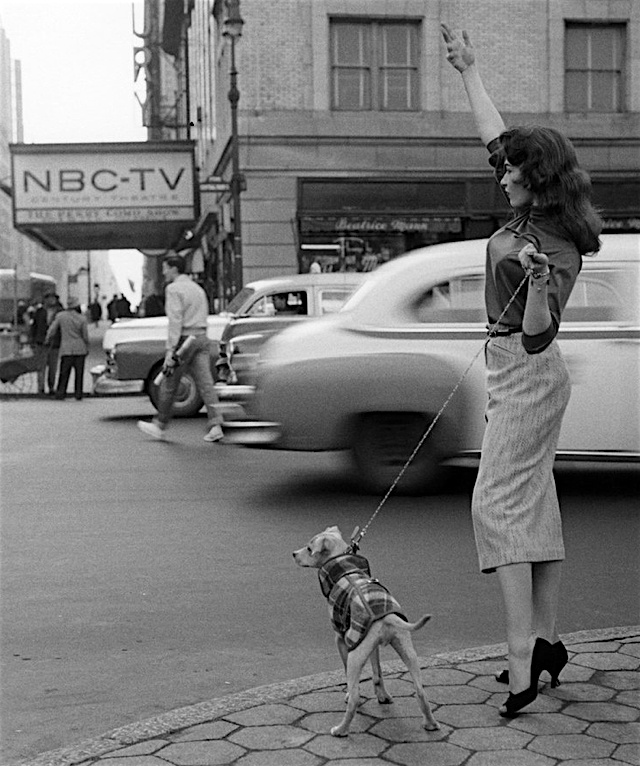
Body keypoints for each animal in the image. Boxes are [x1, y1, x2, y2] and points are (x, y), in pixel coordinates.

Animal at [292, 528, 438, 736]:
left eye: (309, 549)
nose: (293, 554)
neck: (345, 569)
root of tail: (386, 618)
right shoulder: (372, 647)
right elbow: (377, 673)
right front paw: (383, 696)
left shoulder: (341, 639)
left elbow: (348, 676)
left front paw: (348, 693)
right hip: (406, 649)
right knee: (420, 691)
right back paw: (431, 724)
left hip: (356, 654)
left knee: (354, 698)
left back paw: (341, 729)